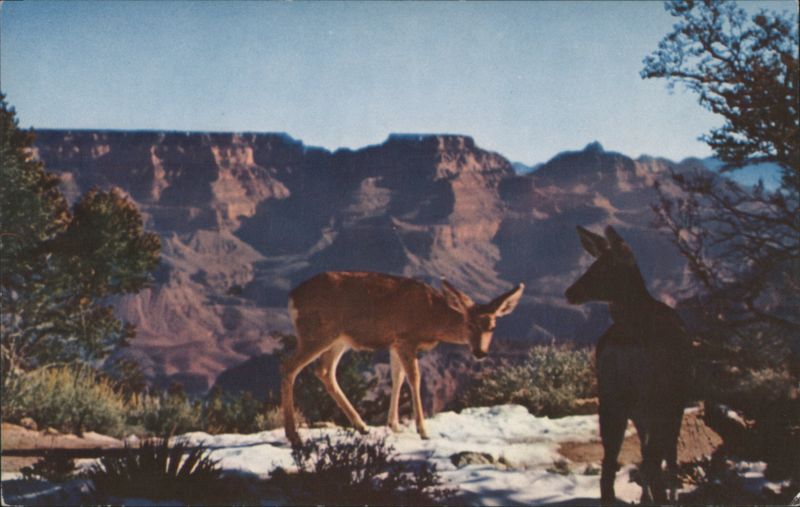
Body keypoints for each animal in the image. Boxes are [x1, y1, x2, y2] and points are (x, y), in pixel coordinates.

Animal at [281, 271, 524, 447]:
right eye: (469, 324)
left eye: (492, 327)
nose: (480, 352)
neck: (432, 318)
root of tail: (292, 298)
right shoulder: (407, 339)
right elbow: (414, 378)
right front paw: (423, 431)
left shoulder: (394, 343)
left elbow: (397, 378)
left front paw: (395, 425)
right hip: (317, 333)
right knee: (289, 366)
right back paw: (294, 436)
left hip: (339, 339)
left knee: (324, 371)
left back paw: (362, 426)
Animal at [565, 226, 691, 505]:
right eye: (595, 264)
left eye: (604, 266)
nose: (570, 292)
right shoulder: (672, 405)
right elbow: (669, 455)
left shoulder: (642, 413)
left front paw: (646, 498)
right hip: (655, 397)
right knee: (654, 462)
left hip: (612, 400)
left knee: (610, 466)